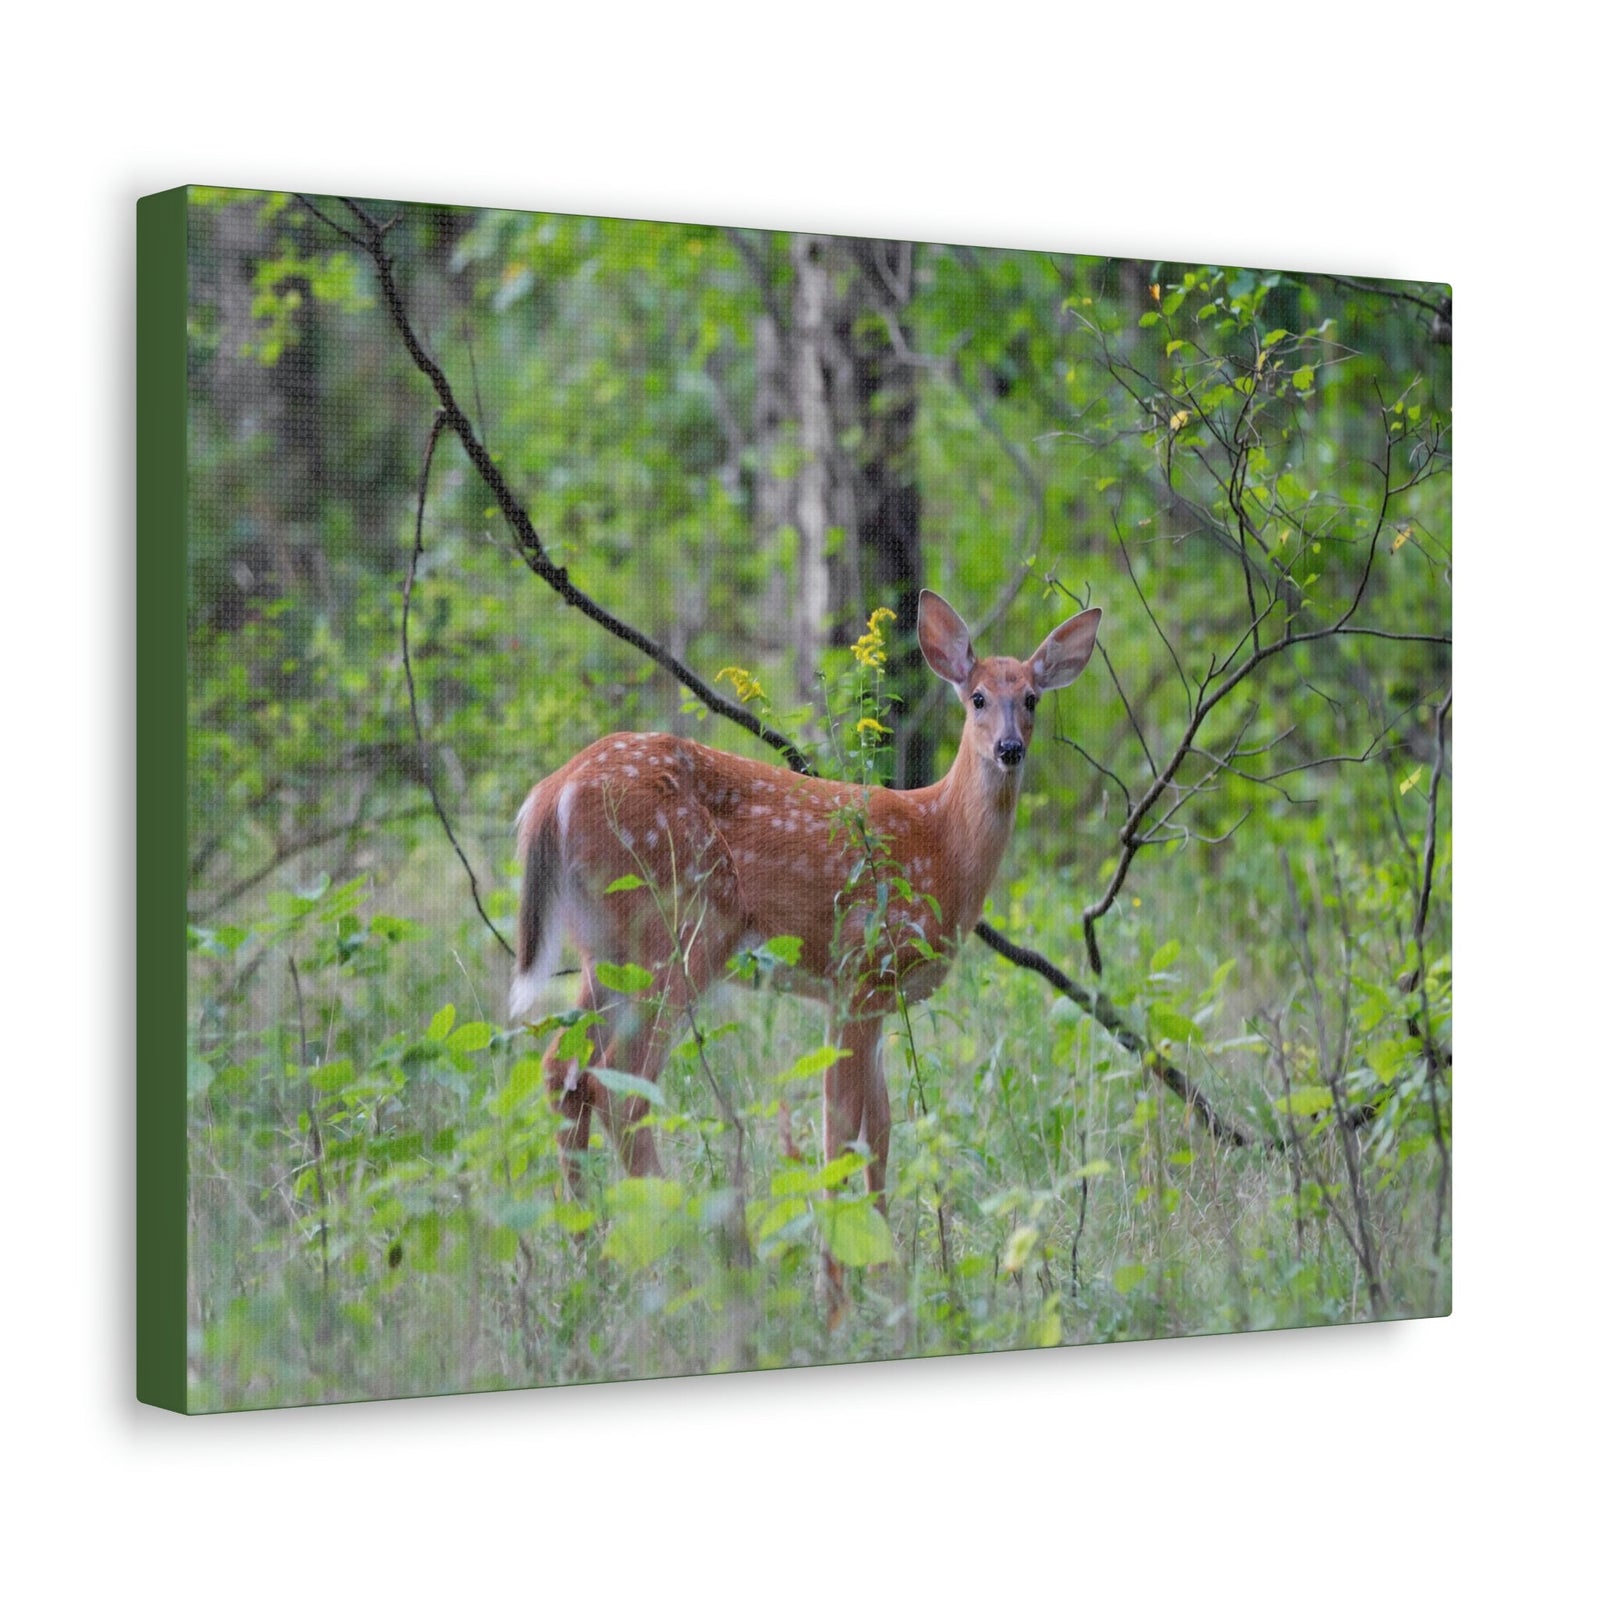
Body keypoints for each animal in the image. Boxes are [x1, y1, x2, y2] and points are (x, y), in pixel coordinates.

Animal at [509, 590, 1101, 1287]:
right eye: (977, 697)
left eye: (1031, 697)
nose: (1009, 748)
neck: (941, 844)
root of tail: (550, 794)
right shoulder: (859, 971)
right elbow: (840, 1131)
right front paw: (839, 1276)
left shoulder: (872, 998)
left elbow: (881, 1130)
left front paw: (885, 1271)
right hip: (680, 926)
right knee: (621, 1086)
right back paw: (688, 1253)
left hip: (604, 946)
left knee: (562, 1069)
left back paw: (589, 1257)